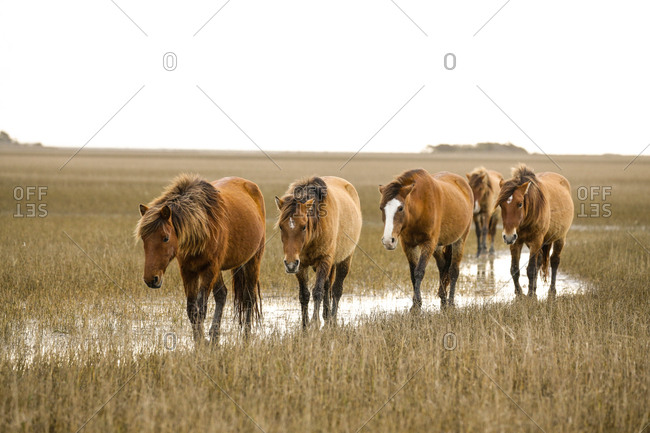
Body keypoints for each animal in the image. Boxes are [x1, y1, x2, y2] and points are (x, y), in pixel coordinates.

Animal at [136, 174, 266, 343]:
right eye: (144, 238)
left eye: (165, 238)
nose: (151, 279)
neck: (202, 227)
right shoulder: (188, 271)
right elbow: (192, 310)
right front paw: (198, 340)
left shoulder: (209, 269)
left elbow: (201, 309)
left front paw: (201, 342)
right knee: (222, 295)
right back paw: (214, 332)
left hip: (252, 260)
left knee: (249, 297)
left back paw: (247, 333)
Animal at [275, 176, 362, 328]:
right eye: (281, 226)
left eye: (304, 226)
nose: (290, 264)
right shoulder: (301, 264)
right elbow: (304, 294)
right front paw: (304, 325)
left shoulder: (324, 260)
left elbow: (317, 291)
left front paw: (315, 323)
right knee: (328, 286)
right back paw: (326, 316)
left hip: (344, 260)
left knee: (336, 289)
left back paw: (333, 319)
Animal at [379, 169, 473, 308]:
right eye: (381, 208)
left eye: (400, 208)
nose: (388, 241)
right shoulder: (408, 245)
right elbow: (413, 273)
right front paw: (415, 303)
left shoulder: (428, 243)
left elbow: (419, 271)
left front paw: (417, 304)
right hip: (437, 246)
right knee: (443, 266)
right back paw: (443, 297)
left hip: (459, 240)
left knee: (453, 271)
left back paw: (450, 302)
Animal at [496, 164, 573, 297]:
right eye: (501, 205)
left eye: (520, 204)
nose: (508, 236)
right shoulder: (516, 242)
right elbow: (514, 269)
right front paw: (520, 293)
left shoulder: (536, 241)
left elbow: (531, 269)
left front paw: (530, 295)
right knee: (539, 260)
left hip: (560, 237)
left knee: (554, 261)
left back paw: (552, 291)